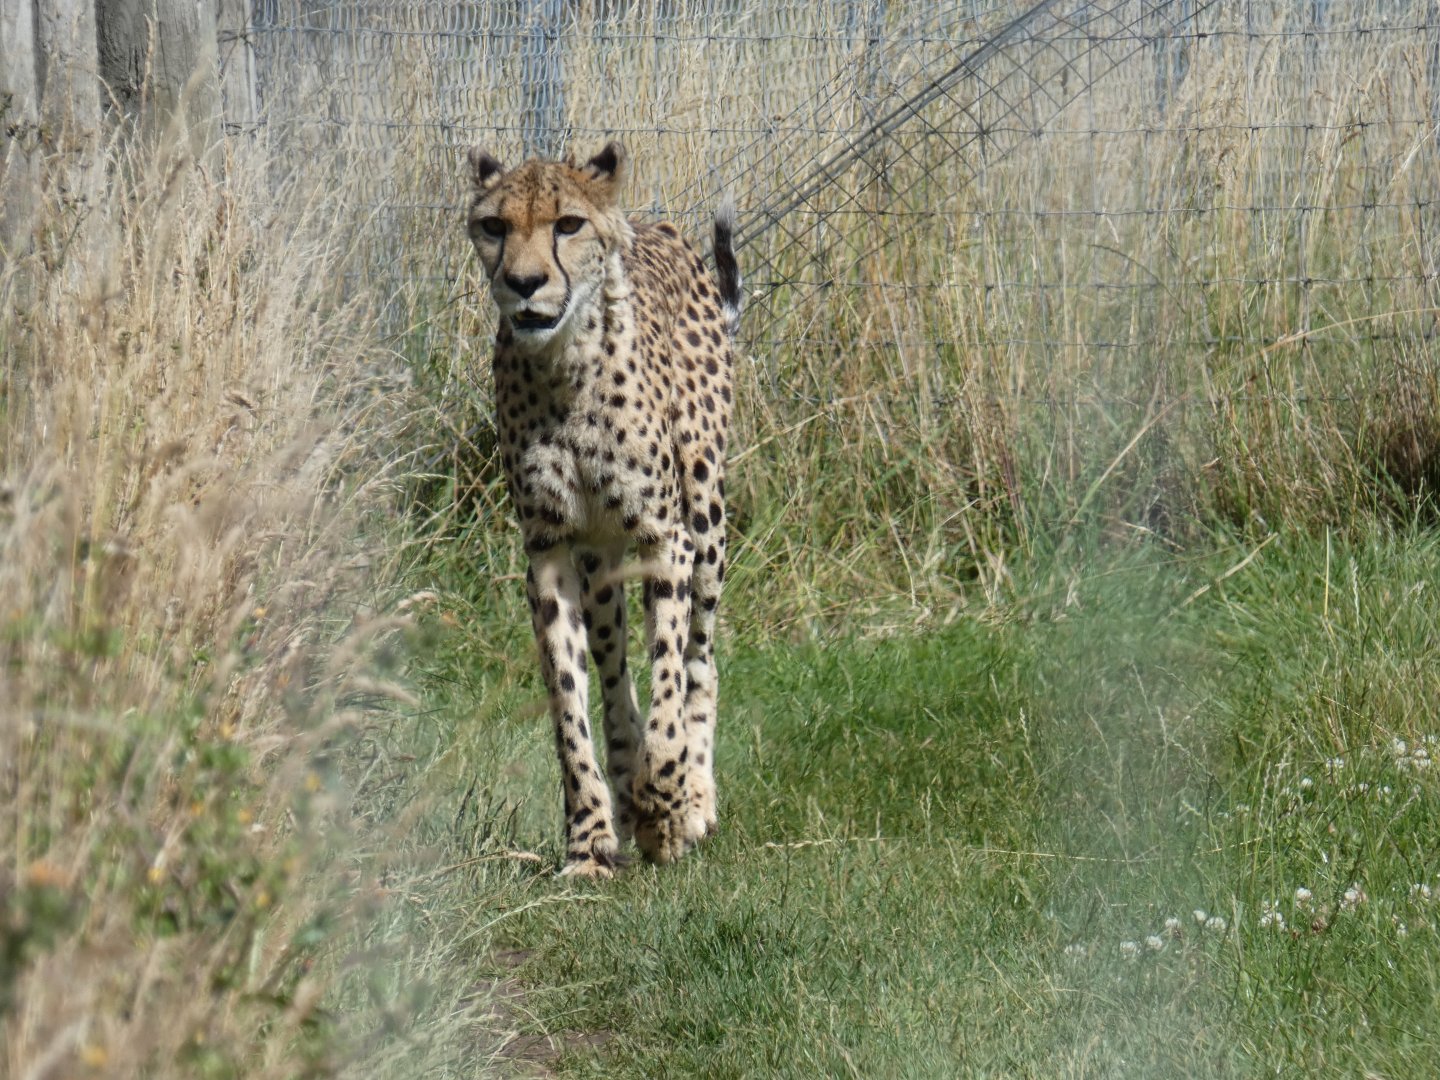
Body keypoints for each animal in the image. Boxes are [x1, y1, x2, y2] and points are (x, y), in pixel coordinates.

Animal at [465, 141, 740, 877]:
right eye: (494, 226)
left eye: (568, 225)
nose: (524, 284)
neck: (564, 370)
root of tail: (656, 225)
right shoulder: (549, 548)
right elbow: (569, 698)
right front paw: (590, 841)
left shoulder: (665, 537)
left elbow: (670, 673)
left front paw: (666, 805)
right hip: (600, 561)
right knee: (616, 677)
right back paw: (625, 791)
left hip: (706, 518)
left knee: (700, 659)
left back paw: (690, 798)